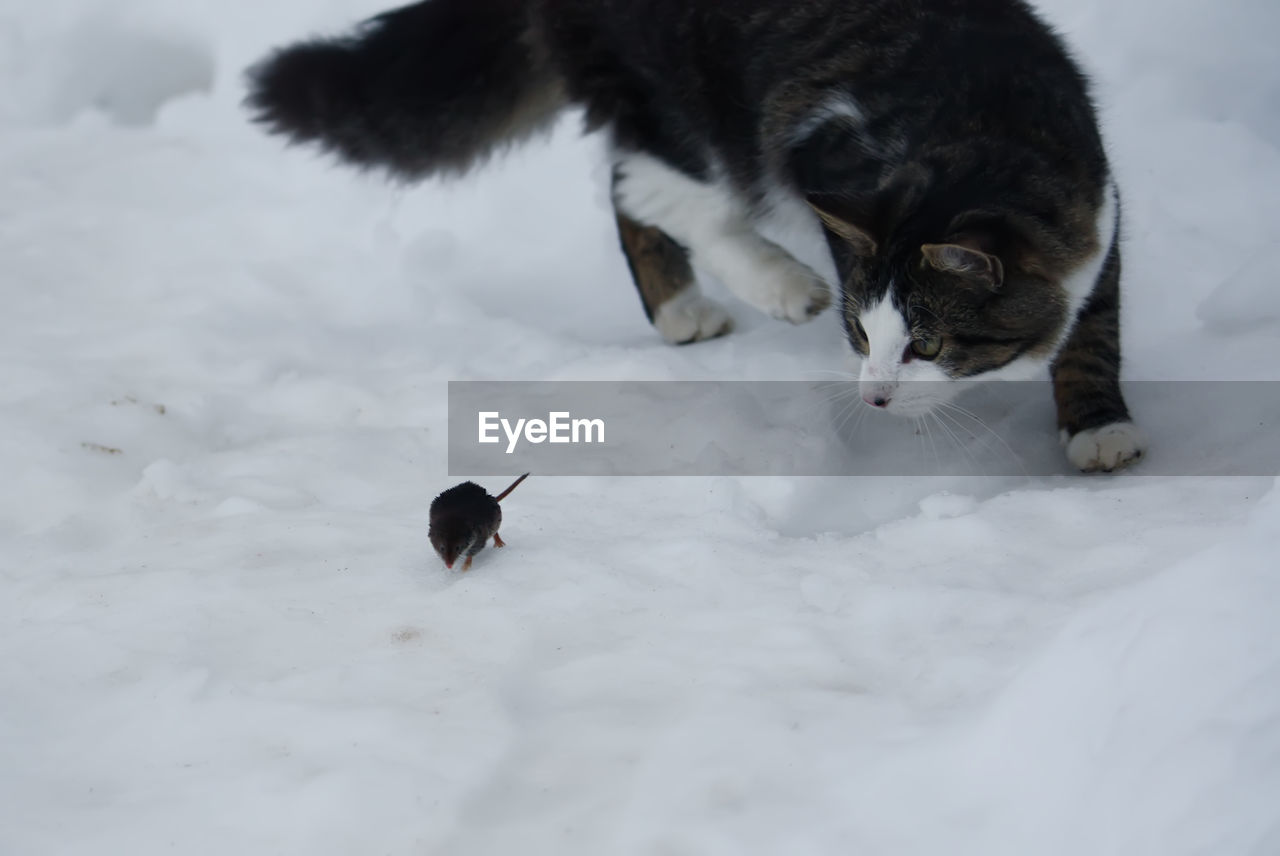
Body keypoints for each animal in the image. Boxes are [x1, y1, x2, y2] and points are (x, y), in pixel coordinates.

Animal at [244, 0, 1146, 470]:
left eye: (927, 344)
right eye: (863, 335)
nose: (875, 396)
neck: (976, 129)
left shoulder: (1097, 205)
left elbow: (1093, 329)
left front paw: (1097, 423)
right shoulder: (808, 144)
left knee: (629, 183)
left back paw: (680, 307)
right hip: (667, 89)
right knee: (649, 183)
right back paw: (756, 287)